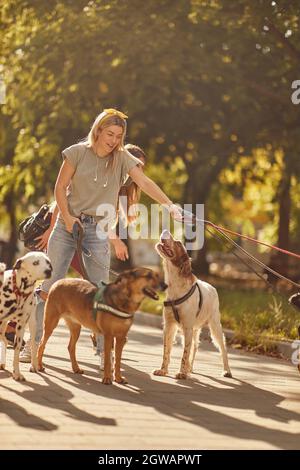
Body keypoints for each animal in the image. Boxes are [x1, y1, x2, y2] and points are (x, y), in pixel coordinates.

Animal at [0, 252, 52, 380]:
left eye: (48, 262)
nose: (49, 271)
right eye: (35, 262)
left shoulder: (21, 327)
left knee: (33, 345)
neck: (19, 291)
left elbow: (17, 351)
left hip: (32, 326)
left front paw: (17, 373)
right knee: (3, 339)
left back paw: (33, 366)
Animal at [37, 266, 166, 384]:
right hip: (50, 324)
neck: (124, 300)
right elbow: (108, 360)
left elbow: (117, 360)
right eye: (148, 276)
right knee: (41, 344)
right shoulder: (108, 335)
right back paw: (39, 366)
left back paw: (76, 368)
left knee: (70, 347)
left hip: (76, 328)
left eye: (157, 275)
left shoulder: (121, 337)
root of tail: (58, 282)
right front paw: (107, 378)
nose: (165, 285)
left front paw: (118, 378)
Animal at [154, 229, 231, 380]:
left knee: (222, 347)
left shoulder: (187, 327)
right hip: (194, 329)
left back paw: (227, 371)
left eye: (178, 243)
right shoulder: (170, 326)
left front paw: (182, 373)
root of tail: (212, 287)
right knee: (195, 346)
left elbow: (185, 354)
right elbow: (167, 351)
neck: (176, 286)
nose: (165, 230)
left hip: (214, 326)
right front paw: (163, 370)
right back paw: (190, 368)